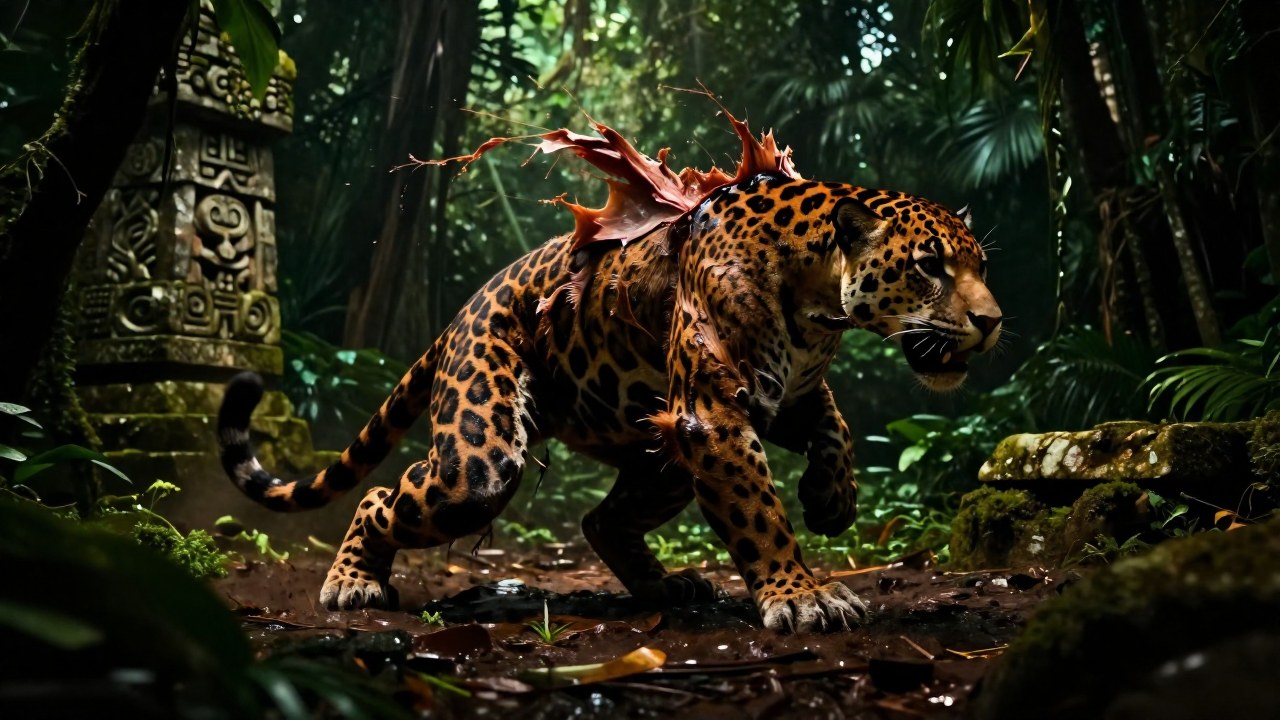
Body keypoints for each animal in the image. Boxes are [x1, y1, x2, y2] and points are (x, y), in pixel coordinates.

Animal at [217, 126, 1002, 633]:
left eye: (981, 266)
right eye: (929, 267)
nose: (993, 321)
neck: (821, 301)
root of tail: (460, 313)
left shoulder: (783, 394)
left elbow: (835, 428)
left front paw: (833, 500)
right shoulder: (715, 414)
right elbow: (759, 514)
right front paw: (800, 594)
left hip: (662, 450)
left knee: (601, 518)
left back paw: (667, 585)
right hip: (482, 456)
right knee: (388, 494)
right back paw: (352, 579)